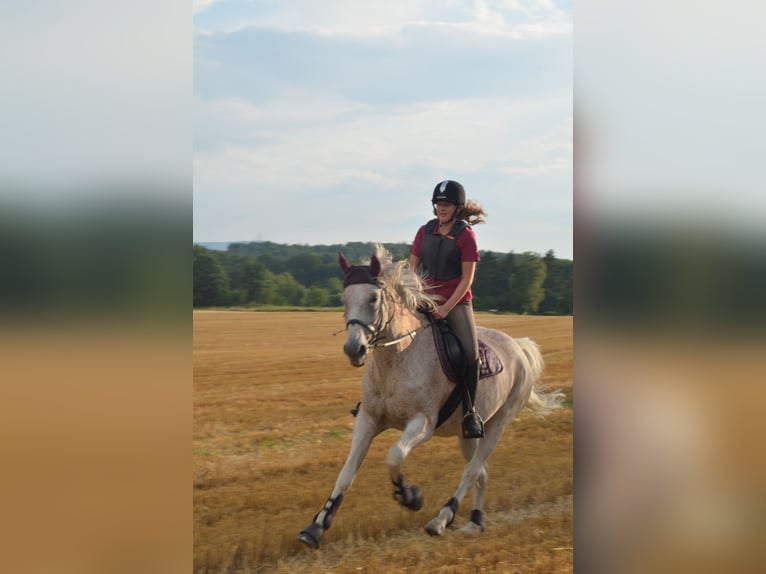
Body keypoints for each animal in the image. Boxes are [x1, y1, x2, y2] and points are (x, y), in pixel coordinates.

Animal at [300, 246, 564, 548]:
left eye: (373, 298)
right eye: (344, 298)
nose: (354, 349)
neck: (398, 355)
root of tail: (518, 348)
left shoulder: (422, 423)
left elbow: (394, 456)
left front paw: (410, 496)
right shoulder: (368, 419)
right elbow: (346, 474)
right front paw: (316, 527)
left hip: (498, 424)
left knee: (471, 472)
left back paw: (441, 520)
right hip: (467, 435)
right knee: (481, 473)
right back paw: (474, 522)